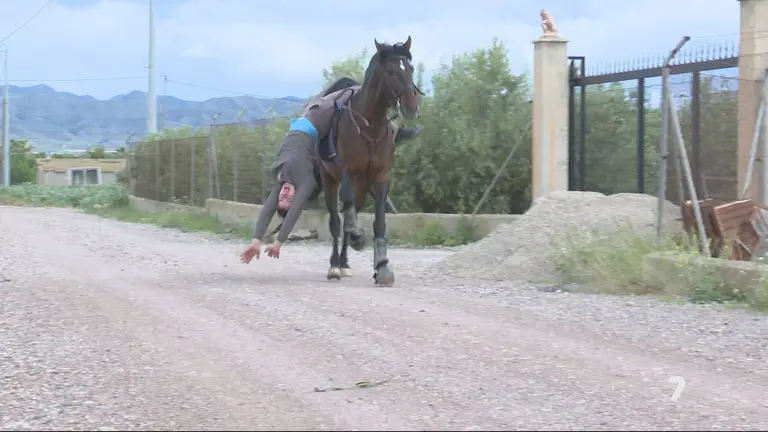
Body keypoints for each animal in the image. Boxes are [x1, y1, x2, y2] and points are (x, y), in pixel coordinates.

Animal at [317, 36, 422, 286]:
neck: (369, 127)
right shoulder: (347, 174)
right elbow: (346, 216)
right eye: (391, 71)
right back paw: (335, 266)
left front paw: (382, 267)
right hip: (330, 179)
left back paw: (344, 264)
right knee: (337, 222)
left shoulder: (381, 177)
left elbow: (379, 222)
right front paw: (357, 239)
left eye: (411, 68)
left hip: (363, 185)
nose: (411, 106)